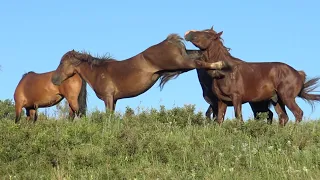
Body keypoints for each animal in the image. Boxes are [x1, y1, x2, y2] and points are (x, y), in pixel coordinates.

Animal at [51, 34, 229, 111]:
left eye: (62, 62)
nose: (54, 79)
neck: (98, 72)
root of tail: (169, 41)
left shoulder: (108, 98)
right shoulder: (114, 100)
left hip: (179, 63)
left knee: (198, 62)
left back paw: (221, 65)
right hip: (182, 61)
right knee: (198, 57)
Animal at [184, 27, 320, 126]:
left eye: (208, 35)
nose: (188, 33)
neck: (224, 72)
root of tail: (298, 74)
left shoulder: (236, 98)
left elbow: (238, 117)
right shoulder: (221, 101)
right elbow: (219, 120)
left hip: (286, 97)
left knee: (298, 113)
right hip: (277, 100)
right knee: (283, 117)